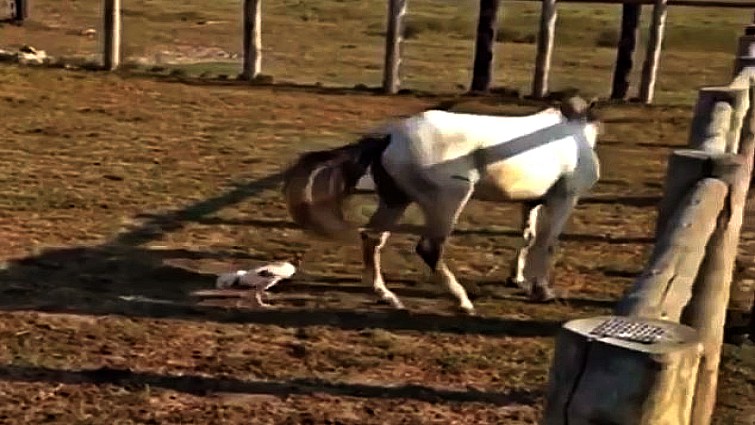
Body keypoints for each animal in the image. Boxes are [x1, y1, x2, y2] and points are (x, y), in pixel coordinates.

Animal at [282, 97, 602, 315]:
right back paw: (462, 301)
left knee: (373, 238)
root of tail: (390, 138)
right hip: (450, 199)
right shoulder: (564, 198)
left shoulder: (531, 201)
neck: (573, 135)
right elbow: (547, 243)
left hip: (396, 200)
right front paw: (542, 291)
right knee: (429, 248)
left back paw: (388, 297)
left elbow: (529, 237)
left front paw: (518, 280)